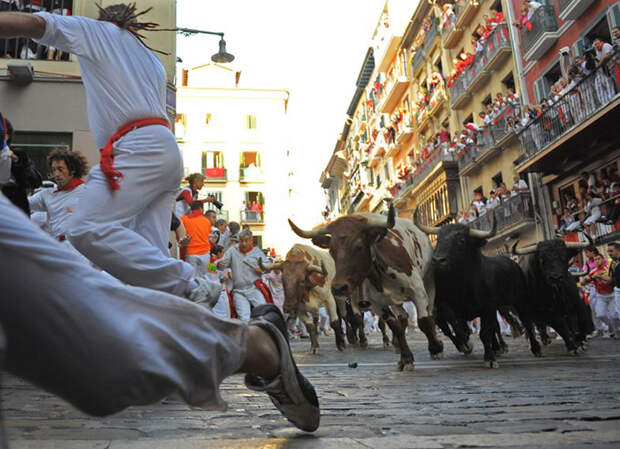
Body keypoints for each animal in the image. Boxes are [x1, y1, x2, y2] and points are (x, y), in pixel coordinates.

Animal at [288, 205, 444, 370]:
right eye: (332, 250)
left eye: (359, 246)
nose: (338, 288)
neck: (378, 273)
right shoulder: (377, 304)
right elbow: (394, 325)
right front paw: (406, 358)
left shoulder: (418, 292)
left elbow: (424, 320)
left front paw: (436, 349)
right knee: (402, 318)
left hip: (429, 282)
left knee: (431, 312)